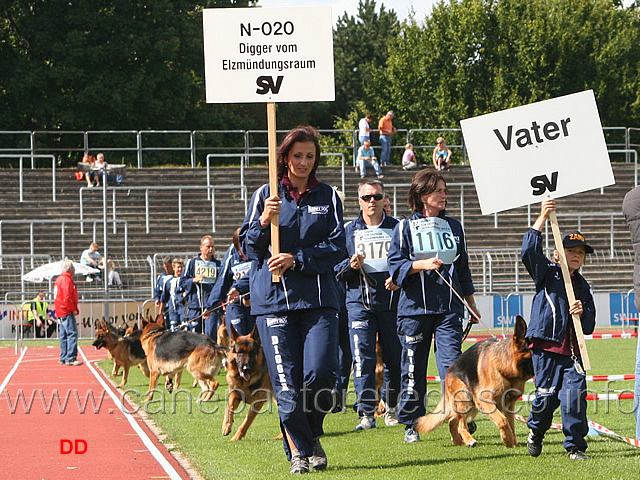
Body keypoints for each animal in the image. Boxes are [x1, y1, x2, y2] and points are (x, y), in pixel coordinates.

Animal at [412, 316, 532, 448]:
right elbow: (503, 421)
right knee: (460, 425)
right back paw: (469, 440)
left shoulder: (509, 405)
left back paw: (459, 442)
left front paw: (513, 442)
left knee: (451, 420)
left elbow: (511, 424)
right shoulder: (485, 401)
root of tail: (449, 370)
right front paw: (507, 439)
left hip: (472, 406)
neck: (505, 367)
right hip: (465, 397)